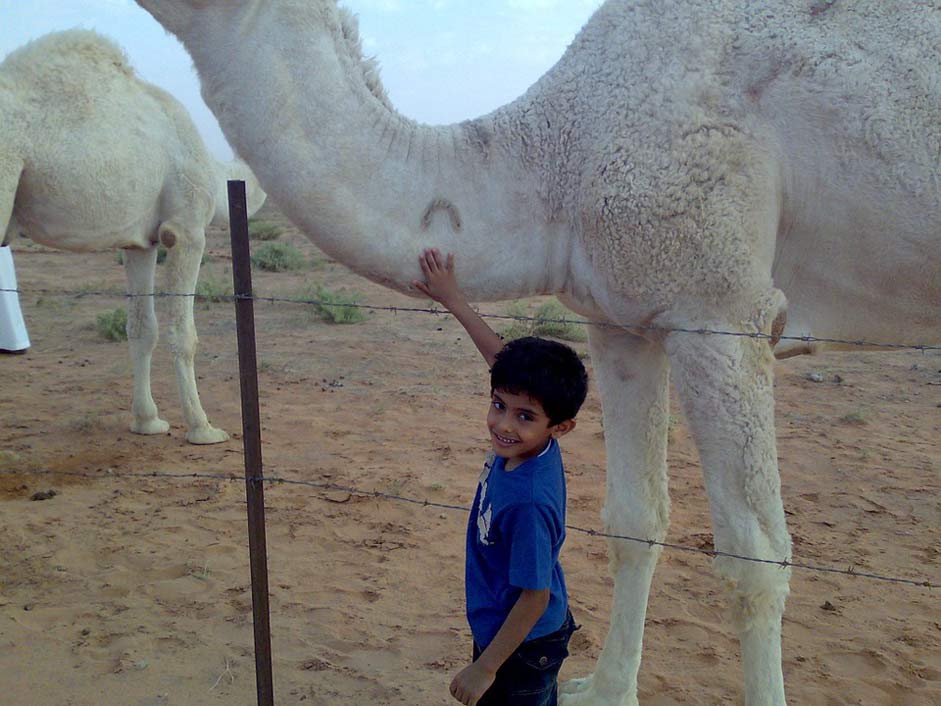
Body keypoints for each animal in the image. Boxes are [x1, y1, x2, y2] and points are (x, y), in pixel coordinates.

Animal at [0, 28, 264, 446]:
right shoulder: (187, 229)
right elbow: (183, 334)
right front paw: (202, 427)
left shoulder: (141, 242)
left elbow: (142, 328)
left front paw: (147, 420)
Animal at [134, 1, 940, 704]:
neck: (559, 157)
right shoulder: (623, 321)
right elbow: (634, 519)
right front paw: (604, 692)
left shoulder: (722, 310)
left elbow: (754, 560)